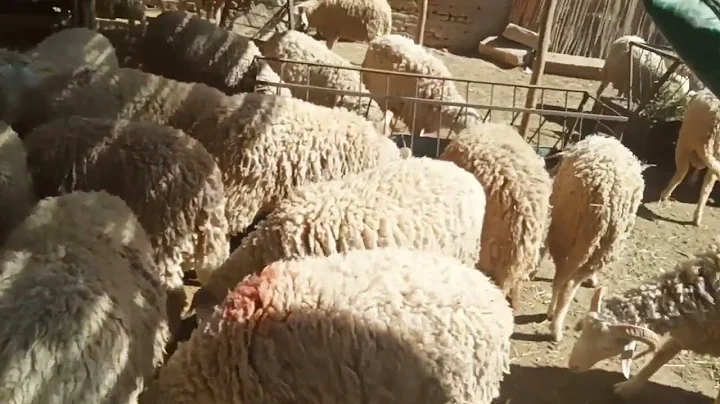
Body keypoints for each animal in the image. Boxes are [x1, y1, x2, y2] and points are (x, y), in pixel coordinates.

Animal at [546, 135, 645, 342]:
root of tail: (604, 193)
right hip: (598, 242)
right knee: (567, 283)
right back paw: (555, 325)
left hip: (567, 230)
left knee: (561, 276)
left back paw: (552, 316)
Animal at [568, 238, 720, 402]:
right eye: (583, 332)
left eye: (606, 348)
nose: (573, 365)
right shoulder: (690, 332)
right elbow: (660, 357)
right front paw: (626, 388)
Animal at [659, 89, 720, 226]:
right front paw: (693, 179)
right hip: (716, 152)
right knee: (707, 186)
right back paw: (697, 217)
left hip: (684, 143)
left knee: (681, 172)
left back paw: (665, 194)